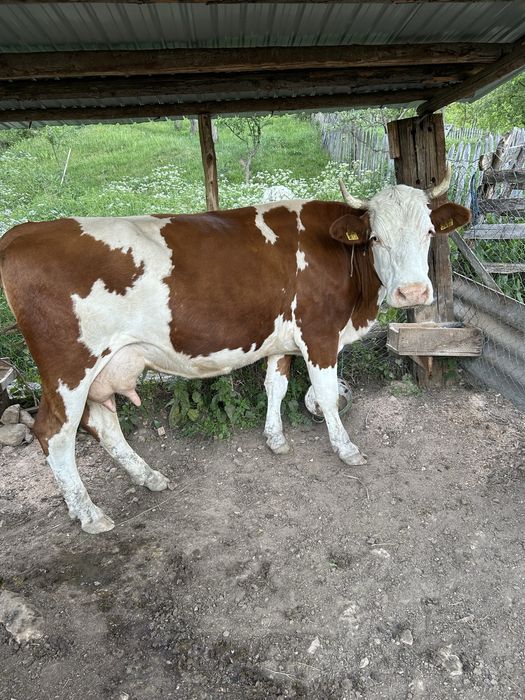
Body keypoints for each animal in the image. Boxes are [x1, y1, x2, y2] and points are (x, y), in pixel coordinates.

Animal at [0, 170, 470, 534]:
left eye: (429, 232)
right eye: (376, 237)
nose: (413, 292)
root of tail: (23, 231)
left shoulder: (282, 339)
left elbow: (276, 386)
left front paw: (275, 439)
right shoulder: (319, 333)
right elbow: (326, 393)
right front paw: (345, 448)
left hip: (104, 366)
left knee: (104, 424)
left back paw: (148, 476)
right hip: (68, 368)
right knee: (55, 434)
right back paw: (89, 513)